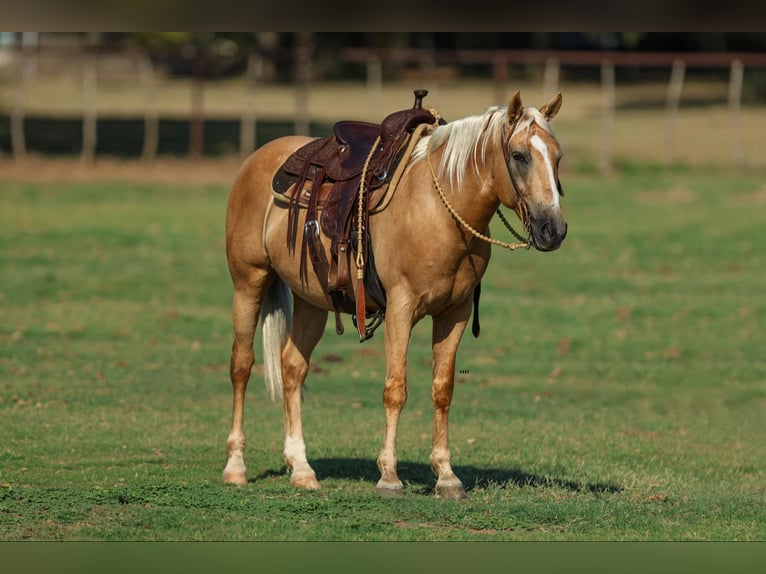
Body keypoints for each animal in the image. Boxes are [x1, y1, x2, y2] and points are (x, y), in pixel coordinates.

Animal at [225, 90, 568, 500]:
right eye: (519, 156)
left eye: (558, 156)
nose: (553, 229)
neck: (441, 209)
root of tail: (256, 159)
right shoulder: (401, 308)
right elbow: (396, 388)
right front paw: (389, 475)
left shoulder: (455, 313)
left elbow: (443, 389)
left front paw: (446, 476)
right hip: (249, 281)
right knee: (242, 365)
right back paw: (235, 467)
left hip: (311, 299)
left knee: (292, 367)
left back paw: (302, 468)